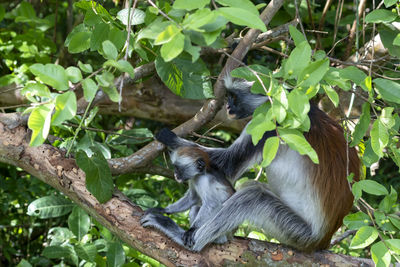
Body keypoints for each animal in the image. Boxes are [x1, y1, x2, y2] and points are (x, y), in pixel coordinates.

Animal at [147, 77, 360, 253]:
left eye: (234, 97)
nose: (227, 107)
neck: (287, 102)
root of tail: (324, 239)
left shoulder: (269, 122)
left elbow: (226, 165)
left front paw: (169, 137)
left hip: (299, 232)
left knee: (252, 196)